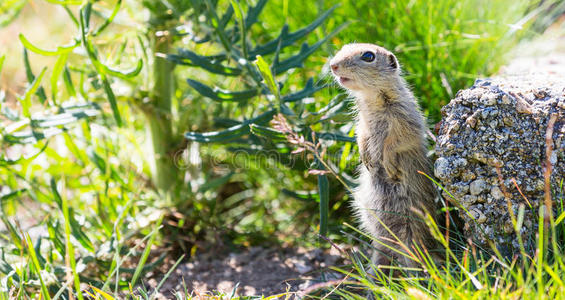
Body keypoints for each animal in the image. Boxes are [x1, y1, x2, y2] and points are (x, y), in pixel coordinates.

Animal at [328, 42, 438, 268]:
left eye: (368, 56)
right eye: (344, 47)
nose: (333, 65)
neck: (371, 98)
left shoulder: (406, 118)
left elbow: (397, 141)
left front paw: (387, 164)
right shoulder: (362, 122)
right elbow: (361, 134)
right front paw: (365, 157)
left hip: (411, 234)